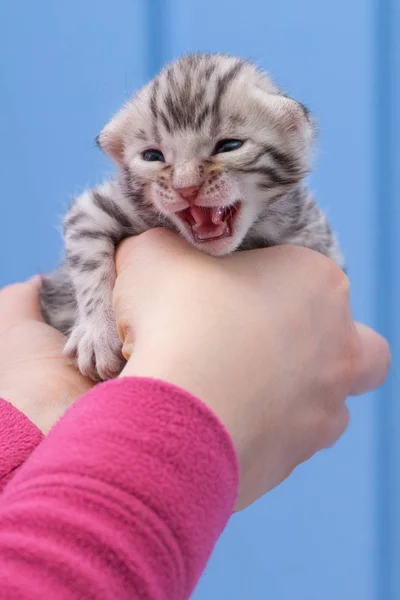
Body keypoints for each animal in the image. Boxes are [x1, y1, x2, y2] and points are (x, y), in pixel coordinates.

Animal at [39, 51, 344, 380]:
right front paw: (98, 334)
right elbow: (89, 261)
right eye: (153, 156)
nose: (186, 187)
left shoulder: (311, 228)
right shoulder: (96, 209)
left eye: (230, 146)